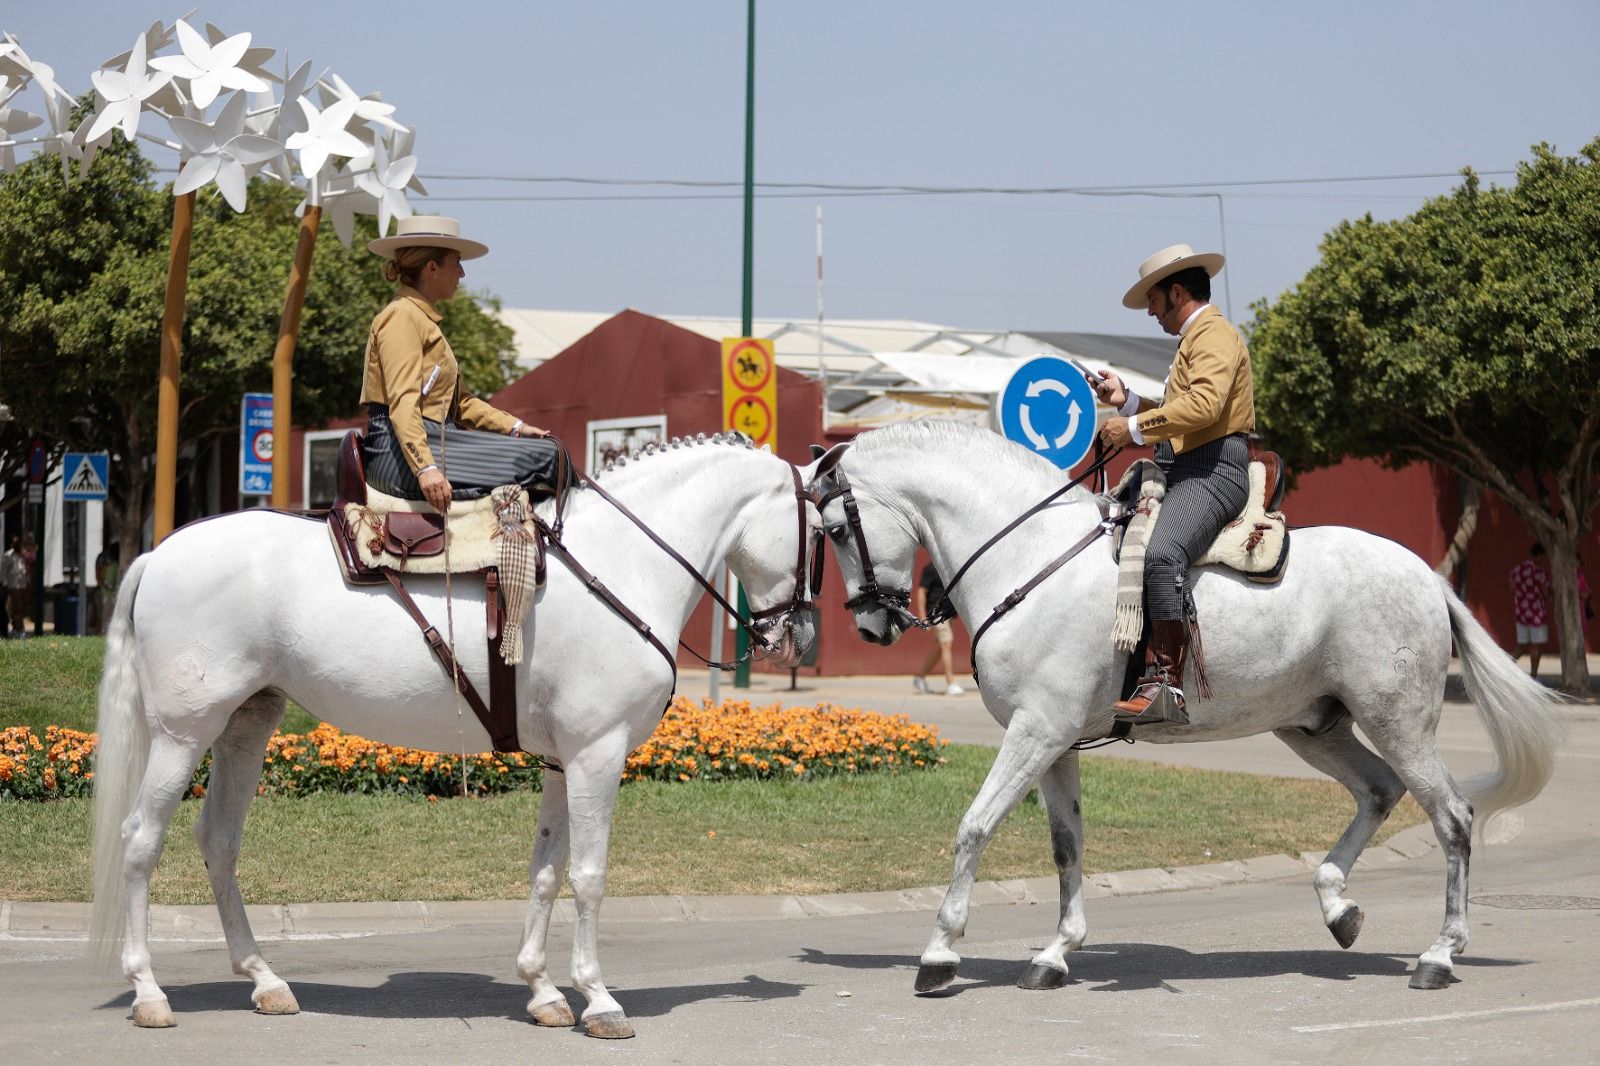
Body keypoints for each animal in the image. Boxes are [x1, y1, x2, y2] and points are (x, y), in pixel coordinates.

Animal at [89, 428, 819, 1030]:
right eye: (819, 532)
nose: (801, 637)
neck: (622, 564)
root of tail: (159, 553)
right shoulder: (597, 755)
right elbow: (588, 874)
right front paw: (598, 997)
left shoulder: (564, 762)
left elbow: (547, 870)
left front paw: (543, 990)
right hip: (184, 734)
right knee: (140, 840)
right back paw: (149, 990)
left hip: (246, 724)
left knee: (218, 841)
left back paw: (264, 979)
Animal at [800, 419, 1561, 992]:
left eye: (834, 529)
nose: (871, 625)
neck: (1032, 559)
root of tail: (1426, 575)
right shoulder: (1053, 740)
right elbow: (1066, 845)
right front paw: (1056, 952)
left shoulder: (1034, 732)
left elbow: (975, 827)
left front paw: (940, 951)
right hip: (1313, 727)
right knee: (1379, 791)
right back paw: (1338, 907)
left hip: (1397, 722)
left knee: (1452, 816)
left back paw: (1439, 953)